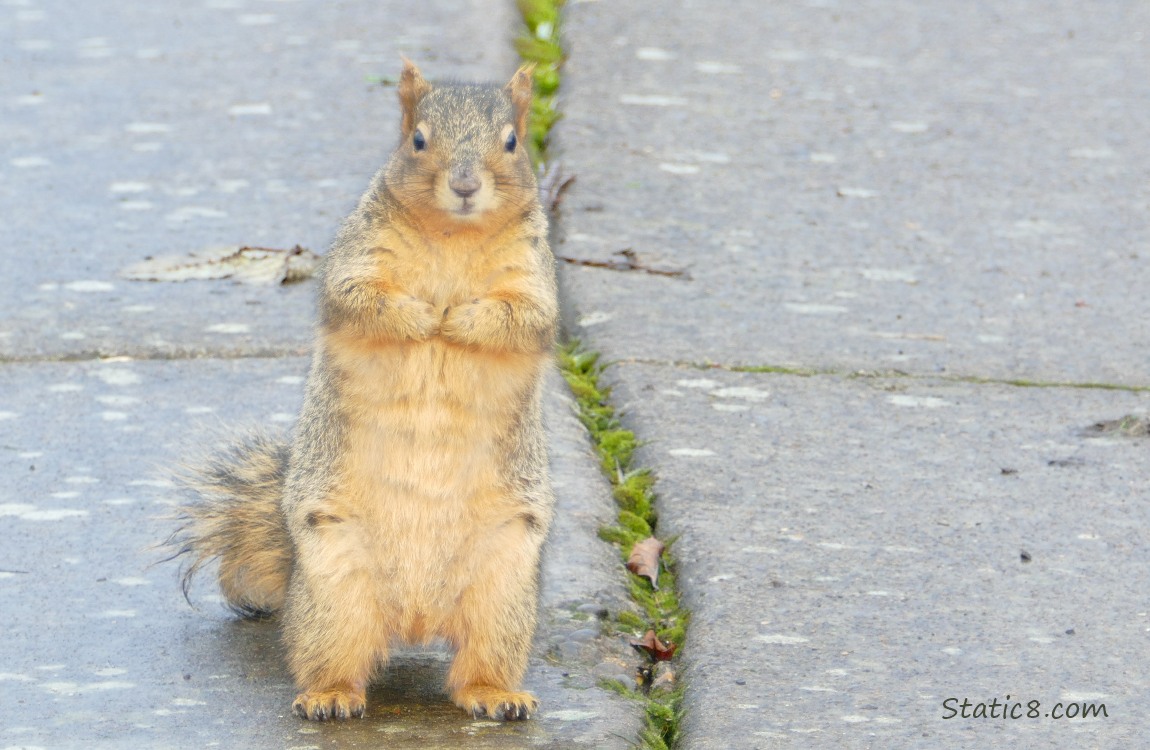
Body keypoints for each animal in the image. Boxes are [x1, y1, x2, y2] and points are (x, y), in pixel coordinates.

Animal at [169, 61, 561, 722]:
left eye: (511, 142)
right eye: (418, 140)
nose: (464, 185)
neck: (453, 236)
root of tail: (417, 620)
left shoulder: (536, 281)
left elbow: (523, 319)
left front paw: (456, 321)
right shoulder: (355, 261)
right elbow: (360, 301)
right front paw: (423, 317)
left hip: (504, 586)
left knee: (479, 660)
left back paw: (497, 695)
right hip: (335, 584)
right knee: (333, 654)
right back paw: (329, 696)